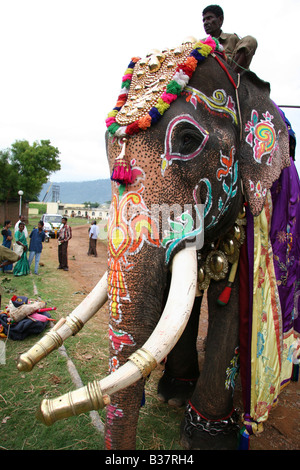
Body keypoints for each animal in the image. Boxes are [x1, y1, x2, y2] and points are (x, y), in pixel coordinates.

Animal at [17, 35, 298, 448]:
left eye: (188, 139)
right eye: (106, 145)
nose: (47, 408)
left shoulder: (255, 203)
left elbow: (229, 300)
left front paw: (209, 436)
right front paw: (173, 396)